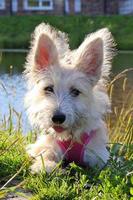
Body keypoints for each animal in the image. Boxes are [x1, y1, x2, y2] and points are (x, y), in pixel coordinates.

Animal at [24, 23, 115, 173]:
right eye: (49, 88)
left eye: (75, 91)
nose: (57, 118)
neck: (70, 137)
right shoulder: (45, 146)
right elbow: (45, 155)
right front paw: (46, 166)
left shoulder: (99, 155)